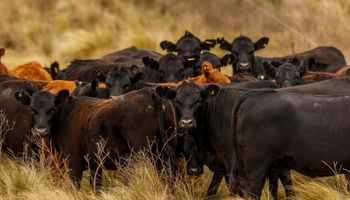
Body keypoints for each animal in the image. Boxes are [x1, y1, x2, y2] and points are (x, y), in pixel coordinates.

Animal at [14, 88, 179, 190]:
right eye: (33, 110)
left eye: (52, 109)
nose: (41, 130)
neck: (66, 114)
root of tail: (149, 92)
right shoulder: (95, 164)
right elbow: (96, 187)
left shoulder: (73, 160)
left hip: (143, 153)